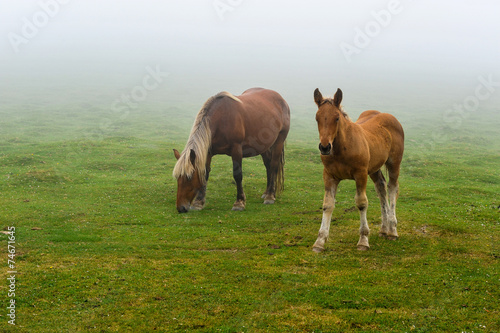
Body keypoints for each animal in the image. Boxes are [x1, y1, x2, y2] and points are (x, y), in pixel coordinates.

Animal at [312, 88, 406, 252]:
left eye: (337, 118)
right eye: (317, 118)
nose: (324, 147)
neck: (342, 148)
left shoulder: (361, 174)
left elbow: (362, 203)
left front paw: (363, 240)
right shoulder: (329, 176)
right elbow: (328, 204)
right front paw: (320, 241)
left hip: (394, 163)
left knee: (392, 187)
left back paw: (393, 230)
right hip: (374, 167)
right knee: (381, 187)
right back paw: (384, 229)